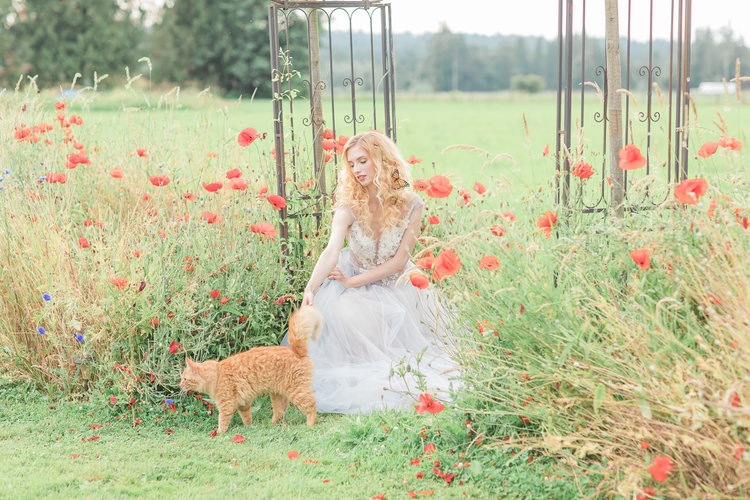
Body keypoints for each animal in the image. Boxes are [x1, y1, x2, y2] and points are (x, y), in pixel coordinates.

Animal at [183, 306, 326, 432]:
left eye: (184, 379)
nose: (180, 385)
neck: (216, 375)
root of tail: (296, 351)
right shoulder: (244, 403)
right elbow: (247, 418)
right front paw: (249, 427)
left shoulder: (226, 405)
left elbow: (222, 422)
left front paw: (218, 433)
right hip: (277, 394)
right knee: (280, 412)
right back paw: (270, 424)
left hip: (297, 391)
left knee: (311, 406)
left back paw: (310, 424)